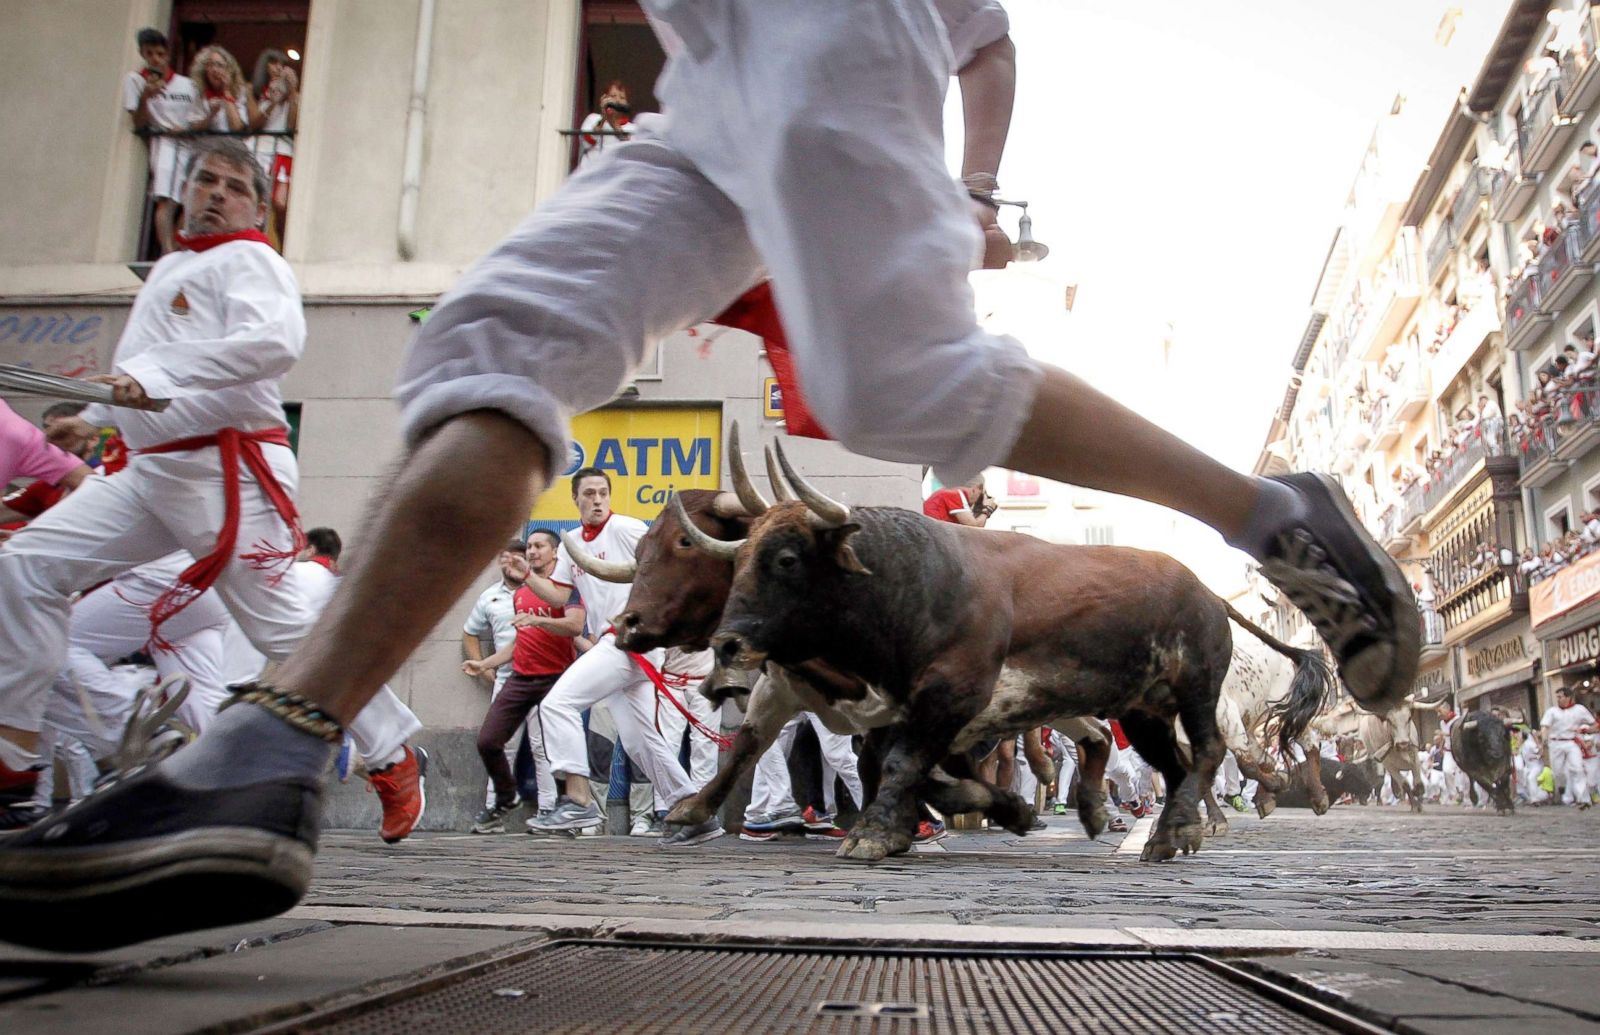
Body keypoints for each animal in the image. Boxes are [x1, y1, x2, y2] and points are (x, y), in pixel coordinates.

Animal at [707, 441, 1331, 863]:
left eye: (787, 559)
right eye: (739, 558)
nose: (726, 644)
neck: (915, 582)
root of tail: (1204, 591)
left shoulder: (950, 698)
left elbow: (902, 764)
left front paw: (872, 834)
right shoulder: (919, 713)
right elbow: (906, 767)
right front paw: (995, 812)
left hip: (1197, 689)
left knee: (1208, 751)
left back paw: (1183, 828)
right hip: (1144, 709)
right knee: (1176, 765)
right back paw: (1169, 831)